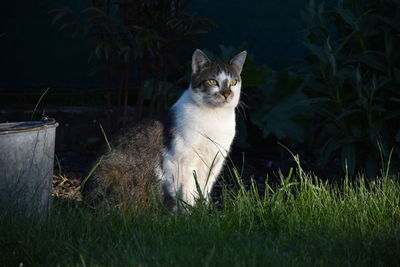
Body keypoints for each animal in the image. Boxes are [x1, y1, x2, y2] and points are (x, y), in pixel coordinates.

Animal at [86, 49, 245, 213]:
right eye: (213, 81)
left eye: (233, 82)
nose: (226, 93)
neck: (215, 118)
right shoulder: (179, 162)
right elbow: (186, 192)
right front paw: (190, 214)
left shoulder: (214, 163)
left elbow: (204, 189)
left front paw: (204, 211)